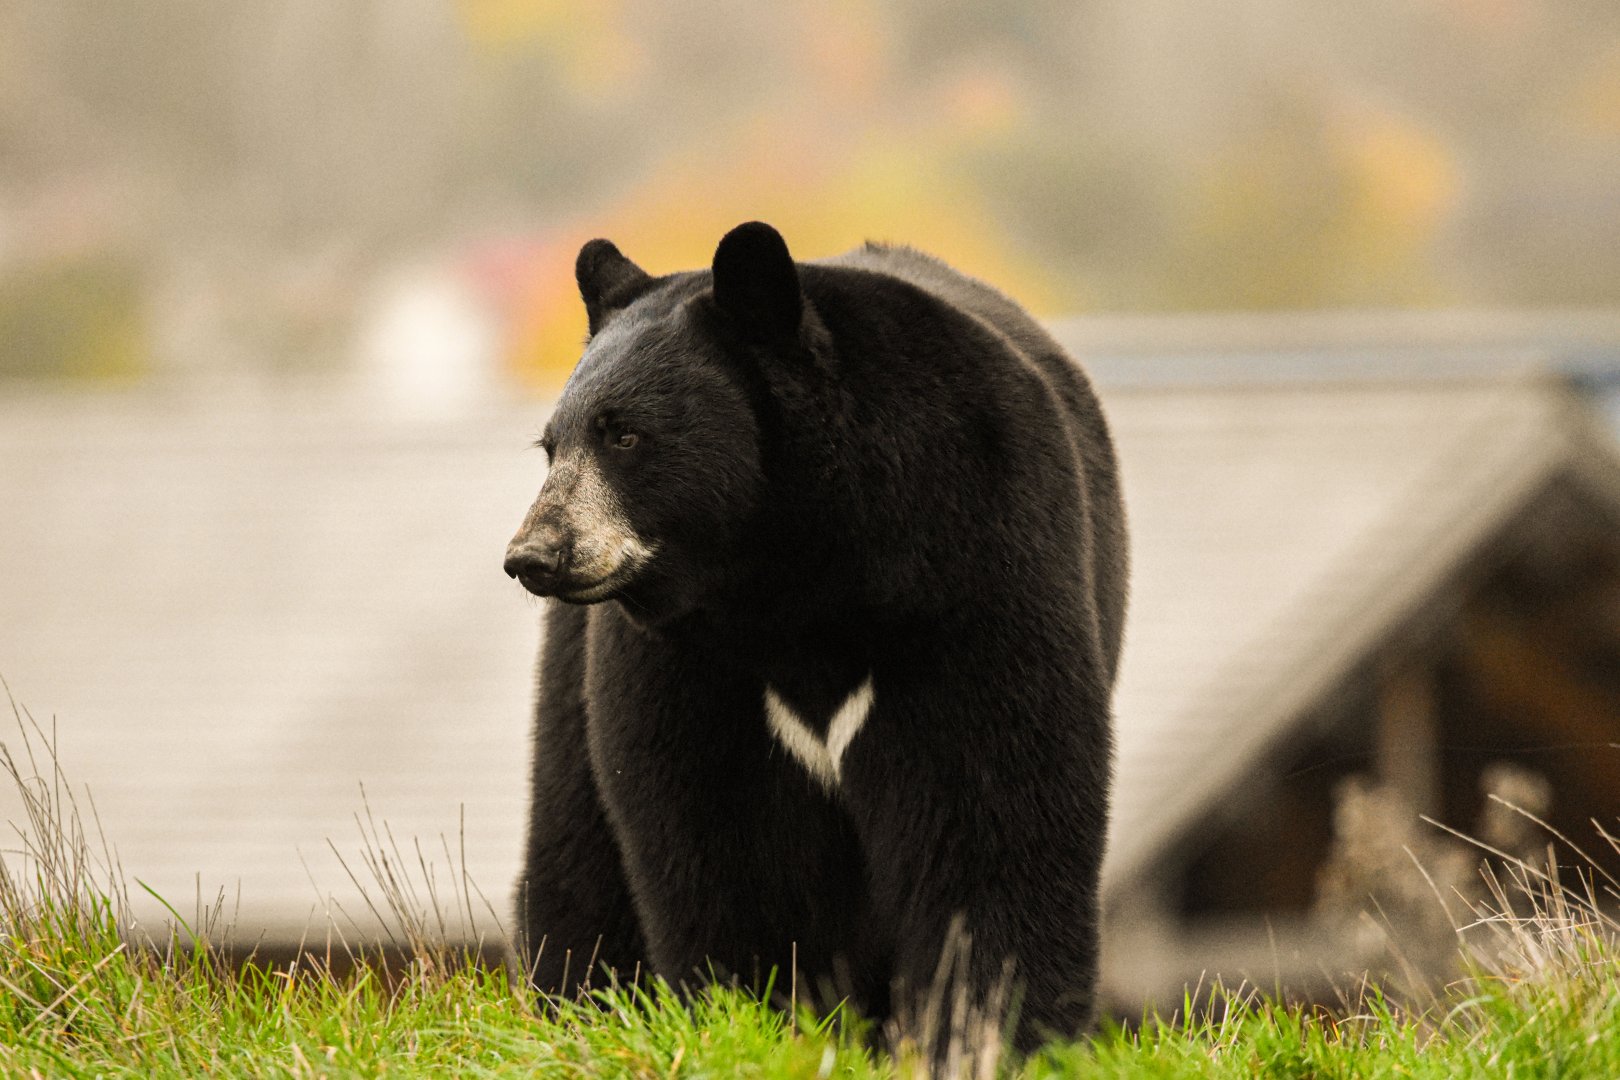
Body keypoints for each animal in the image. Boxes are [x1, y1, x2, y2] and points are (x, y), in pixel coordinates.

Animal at [503, 221, 1127, 1056]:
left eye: (625, 435)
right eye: (551, 446)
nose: (534, 555)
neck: (790, 579)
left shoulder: (972, 565)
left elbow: (993, 799)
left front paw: (991, 1030)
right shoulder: (685, 656)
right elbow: (714, 824)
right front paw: (761, 1016)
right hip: (570, 659)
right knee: (573, 832)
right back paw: (581, 1005)